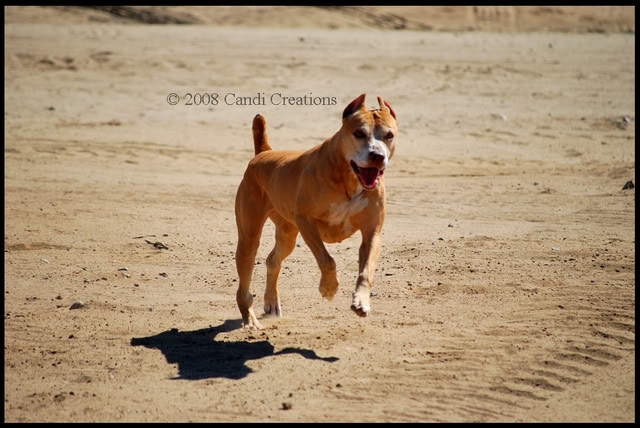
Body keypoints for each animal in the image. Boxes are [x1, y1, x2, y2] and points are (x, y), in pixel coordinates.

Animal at [232, 93, 398, 328]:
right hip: (249, 236)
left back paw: (272, 303)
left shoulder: (372, 232)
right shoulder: (306, 221)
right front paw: (328, 288)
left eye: (389, 135)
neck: (348, 178)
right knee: (245, 279)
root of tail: (263, 154)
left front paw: (361, 302)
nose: (377, 155)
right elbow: (327, 260)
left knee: (273, 260)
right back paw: (250, 319)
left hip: (287, 234)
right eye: (359, 133)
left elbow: (366, 271)